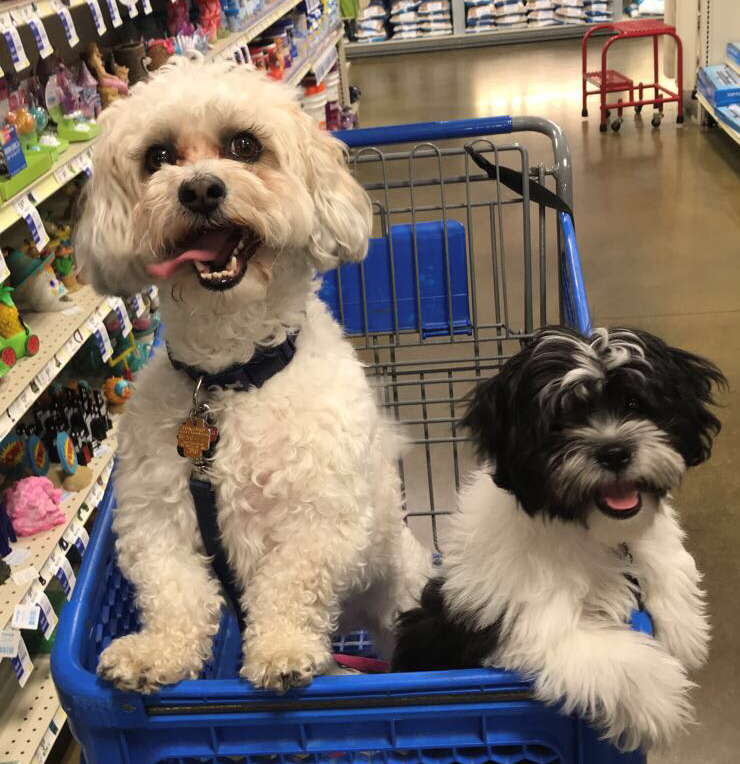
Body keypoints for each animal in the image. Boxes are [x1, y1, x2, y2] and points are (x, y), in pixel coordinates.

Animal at [75, 58, 430, 692]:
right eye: (158, 157)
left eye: (244, 145)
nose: (199, 188)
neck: (229, 379)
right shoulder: (156, 515)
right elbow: (174, 591)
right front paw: (158, 650)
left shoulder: (319, 515)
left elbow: (290, 584)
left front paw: (283, 646)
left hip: (399, 590)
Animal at [396, 326, 724, 748]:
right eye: (560, 419)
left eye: (634, 403)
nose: (614, 451)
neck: (585, 530)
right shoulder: (512, 617)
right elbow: (609, 653)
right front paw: (661, 697)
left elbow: (670, 558)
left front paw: (686, 633)